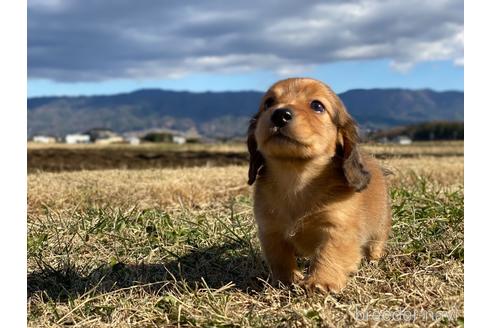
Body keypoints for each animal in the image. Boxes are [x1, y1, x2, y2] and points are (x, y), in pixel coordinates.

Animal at [248, 77, 390, 292]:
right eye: (269, 102)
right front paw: (286, 280)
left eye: (317, 105)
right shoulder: (270, 229)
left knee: (375, 245)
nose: (280, 115)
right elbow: (279, 258)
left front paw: (320, 282)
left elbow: (329, 254)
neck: (297, 180)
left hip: (379, 229)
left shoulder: (338, 227)